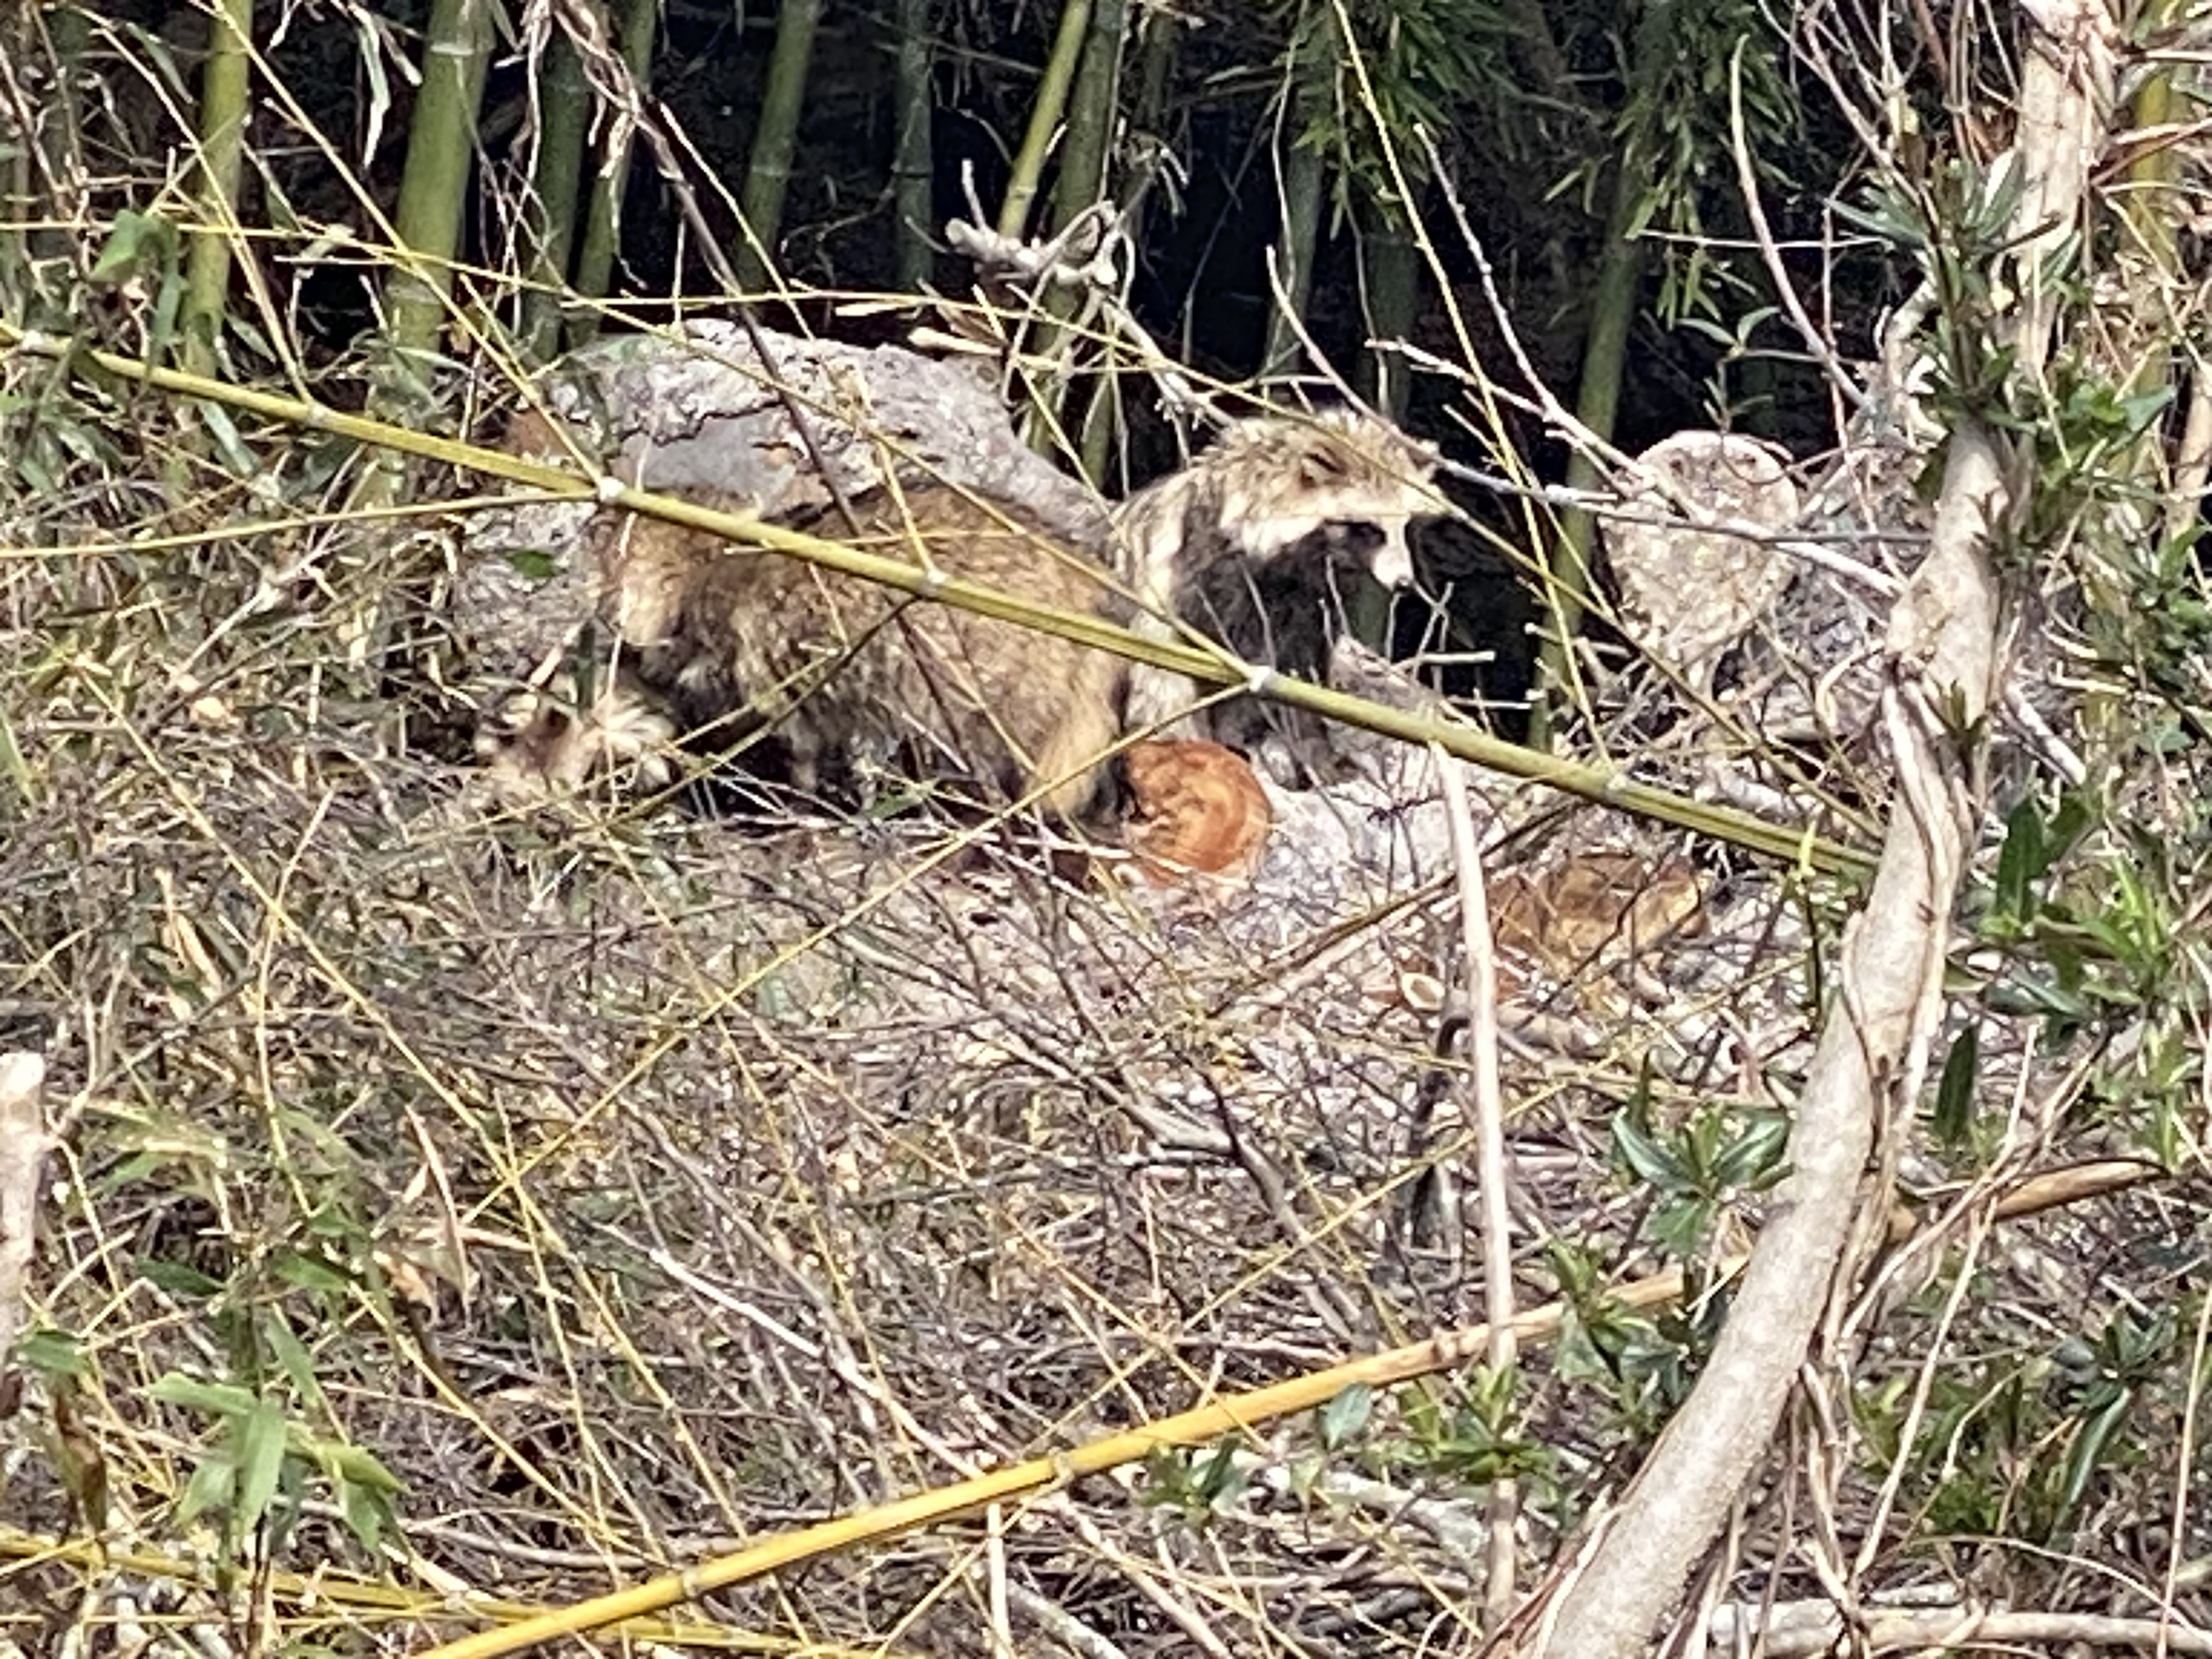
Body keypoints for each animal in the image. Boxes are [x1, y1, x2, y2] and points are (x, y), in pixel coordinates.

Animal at [1115, 409, 1442, 787]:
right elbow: (1187, 663)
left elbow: (1299, 674)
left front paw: (1316, 750)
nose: (1405, 582)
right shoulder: (1202, 576)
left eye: (1407, 526)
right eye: (1369, 529)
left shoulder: (1310, 602)